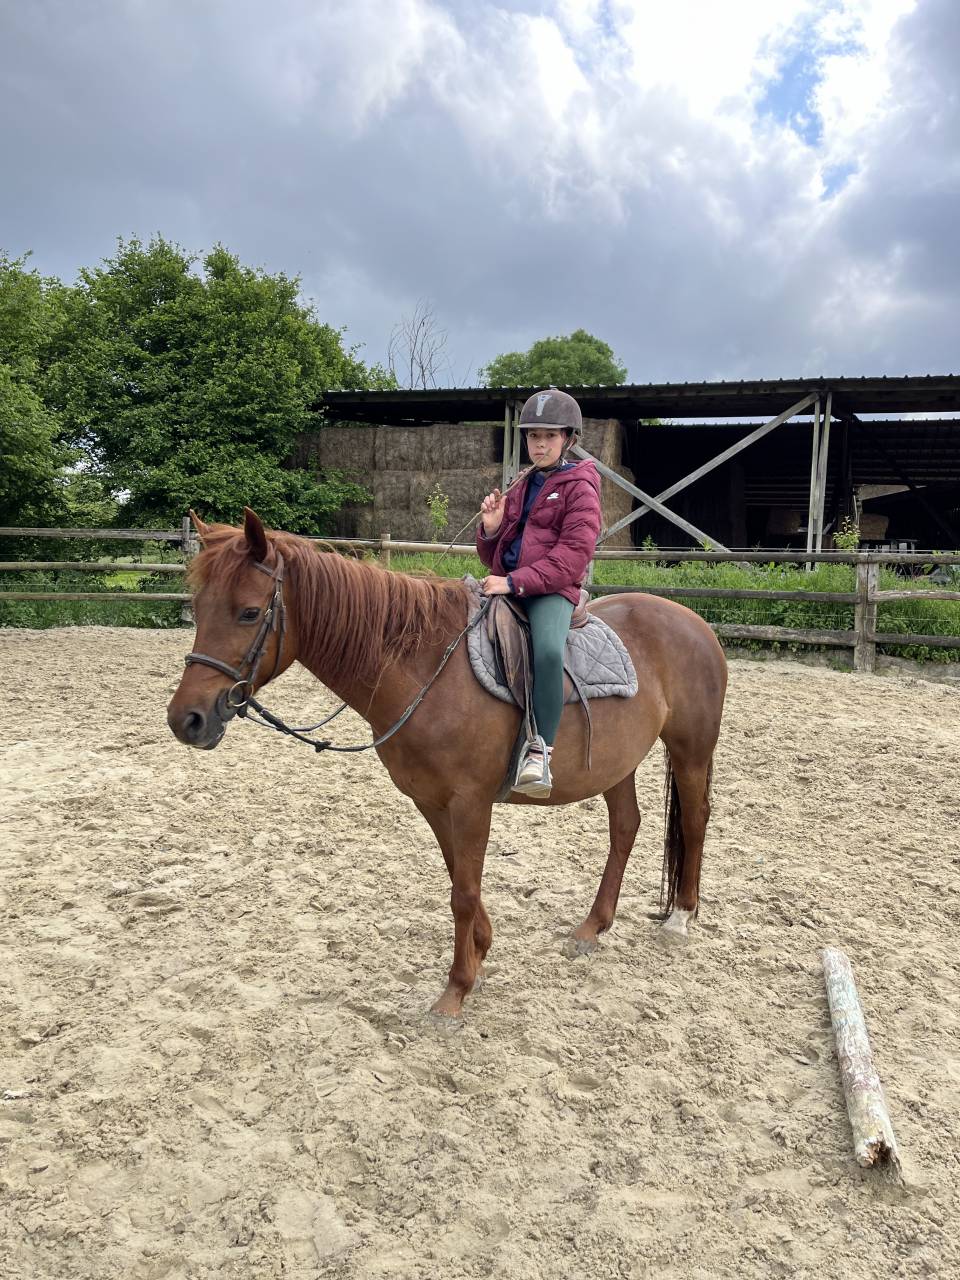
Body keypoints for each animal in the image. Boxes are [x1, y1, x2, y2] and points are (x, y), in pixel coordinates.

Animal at [167, 509, 728, 1020]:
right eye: (198, 606)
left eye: (249, 612)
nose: (186, 720)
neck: (424, 670)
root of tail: (695, 623)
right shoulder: (432, 801)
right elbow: (458, 877)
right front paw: (480, 948)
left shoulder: (471, 802)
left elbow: (463, 890)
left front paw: (456, 990)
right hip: (617, 763)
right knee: (626, 826)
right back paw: (593, 927)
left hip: (691, 749)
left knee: (695, 819)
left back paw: (680, 918)